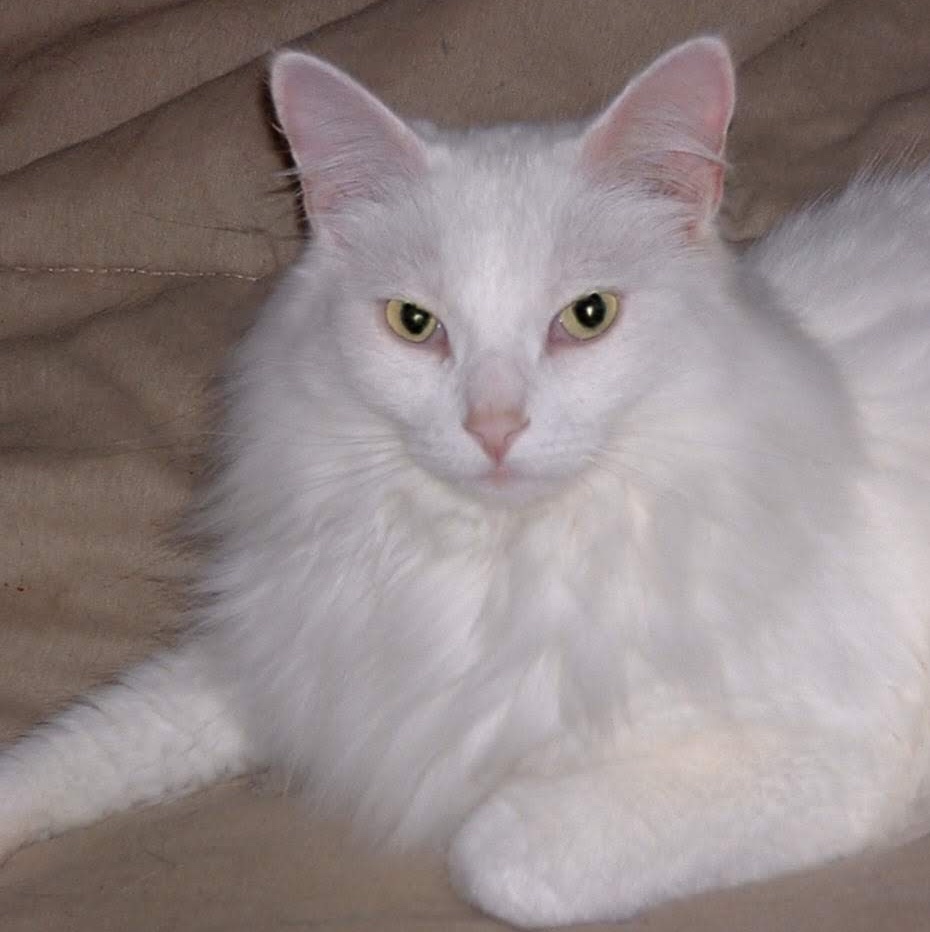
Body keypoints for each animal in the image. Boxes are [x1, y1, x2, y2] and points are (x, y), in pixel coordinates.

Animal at [1, 34, 928, 924]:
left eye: (588, 316)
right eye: (415, 323)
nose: (494, 427)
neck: (491, 565)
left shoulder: (841, 757)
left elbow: (493, 853)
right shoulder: (286, 653)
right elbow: (92, 742)